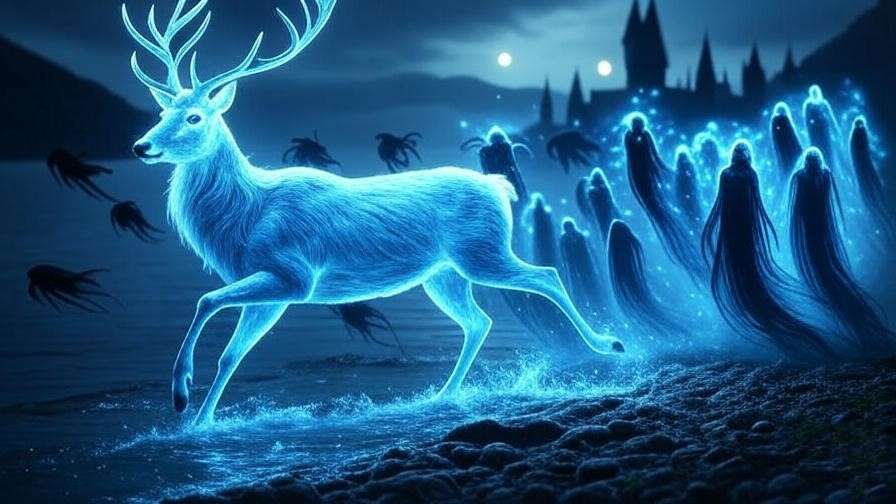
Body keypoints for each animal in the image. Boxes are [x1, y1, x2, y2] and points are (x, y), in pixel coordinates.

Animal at [122, 0, 625, 425]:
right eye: (162, 111)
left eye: (194, 117)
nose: (140, 146)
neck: (244, 217)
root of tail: (499, 186)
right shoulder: (274, 293)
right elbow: (232, 353)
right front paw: (198, 421)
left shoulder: (294, 275)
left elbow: (206, 300)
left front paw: (181, 395)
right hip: (443, 274)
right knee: (479, 320)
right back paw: (443, 394)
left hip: (481, 252)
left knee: (546, 275)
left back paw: (610, 342)